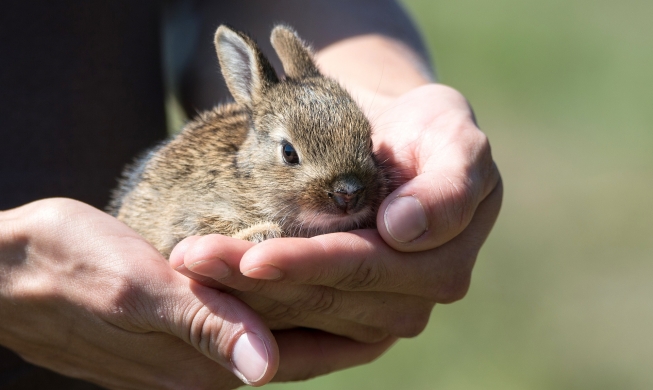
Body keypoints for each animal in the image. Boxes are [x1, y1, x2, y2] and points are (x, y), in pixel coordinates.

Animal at [108, 23, 388, 256]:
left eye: (369, 142)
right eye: (289, 153)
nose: (348, 193)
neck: (251, 181)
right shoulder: (188, 219)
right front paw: (262, 233)